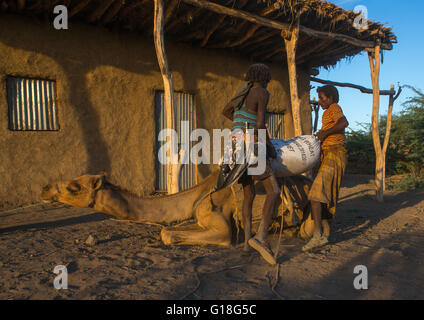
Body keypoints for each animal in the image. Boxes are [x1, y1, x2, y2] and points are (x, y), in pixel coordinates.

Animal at [40, 170, 332, 248]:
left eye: (74, 187)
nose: (45, 189)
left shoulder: (223, 228)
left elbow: (167, 234)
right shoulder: (199, 218)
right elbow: (166, 230)